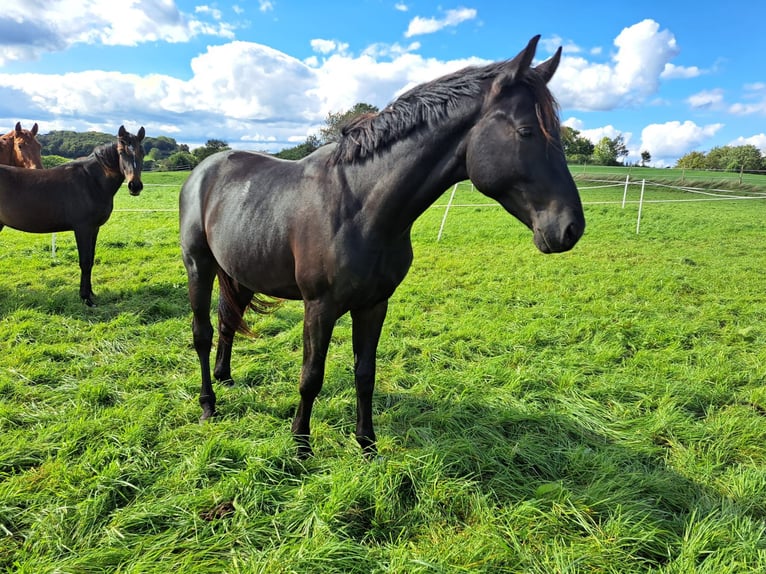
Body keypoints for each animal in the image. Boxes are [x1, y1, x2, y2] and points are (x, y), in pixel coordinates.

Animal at [0, 125, 146, 306]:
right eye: (121, 152)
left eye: (142, 152)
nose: (135, 186)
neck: (91, 181)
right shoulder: (83, 229)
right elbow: (84, 261)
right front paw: (85, 298)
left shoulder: (94, 229)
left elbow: (91, 260)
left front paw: (91, 293)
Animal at [182, 36, 588, 460]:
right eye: (526, 131)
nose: (570, 228)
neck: (361, 205)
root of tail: (204, 169)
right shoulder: (319, 307)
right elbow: (311, 376)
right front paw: (301, 445)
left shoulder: (374, 304)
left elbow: (365, 374)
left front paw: (366, 443)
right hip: (199, 265)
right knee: (202, 333)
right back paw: (208, 404)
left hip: (240, 272)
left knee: (227, 322)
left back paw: (224, 377)